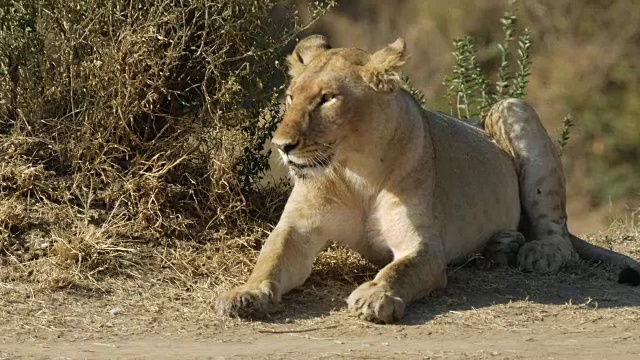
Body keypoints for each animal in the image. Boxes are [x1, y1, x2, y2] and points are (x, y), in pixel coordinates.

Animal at [216, 35, 640, 324]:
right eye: (290, 98)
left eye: (327, 98)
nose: (282, 145)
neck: (356, 170)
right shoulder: (298, 229)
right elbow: (271, 259)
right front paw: (244, 294)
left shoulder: (422, 244)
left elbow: (400, 270)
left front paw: (375, 295)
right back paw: (501, 245)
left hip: (513, 107)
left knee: (559, 234)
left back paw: (537, 252)